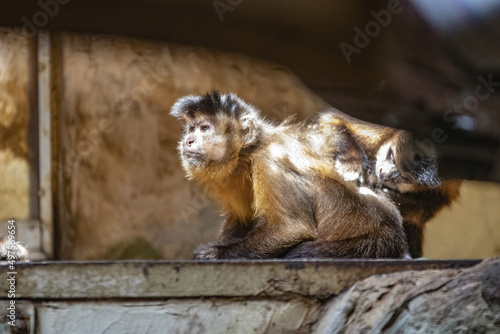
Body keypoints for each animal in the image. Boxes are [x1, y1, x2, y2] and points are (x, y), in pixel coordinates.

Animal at [170, 92, 408, 260]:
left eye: (204, 128)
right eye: (191, 129)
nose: (188, 140)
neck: (248, 153)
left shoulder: (270, 161)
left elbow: (291, 229)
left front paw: (216, 254)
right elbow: (243, 221)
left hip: (375, 243)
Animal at [312, 111, 460, 258]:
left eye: (405, 177)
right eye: (391, 155)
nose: (385, 174)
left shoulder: (449, 183)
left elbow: (429, 207)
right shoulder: (381, 131)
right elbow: (332, 120)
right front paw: (352, 164)